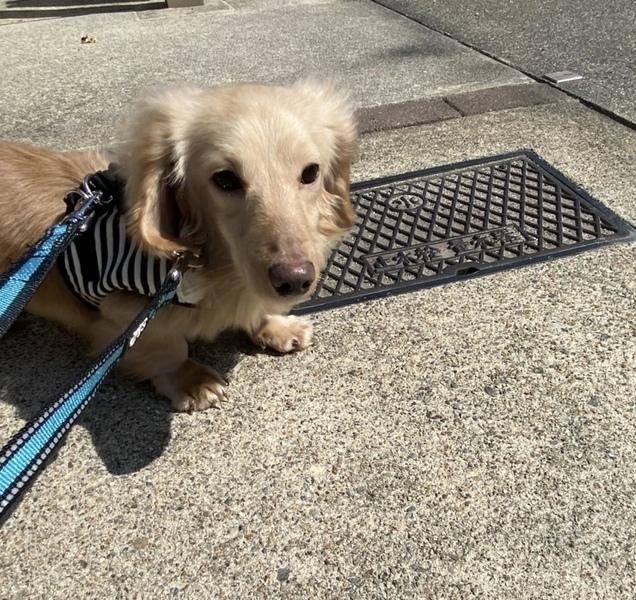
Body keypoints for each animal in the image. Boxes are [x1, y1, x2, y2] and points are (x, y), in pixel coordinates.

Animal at [0, 81, 357, 411]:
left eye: (310, 172)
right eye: (225, 179)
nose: (294, 279)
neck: (221, 268)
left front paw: (275, 326)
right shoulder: (123, 307)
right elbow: (167, 347)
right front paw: (192, 380)